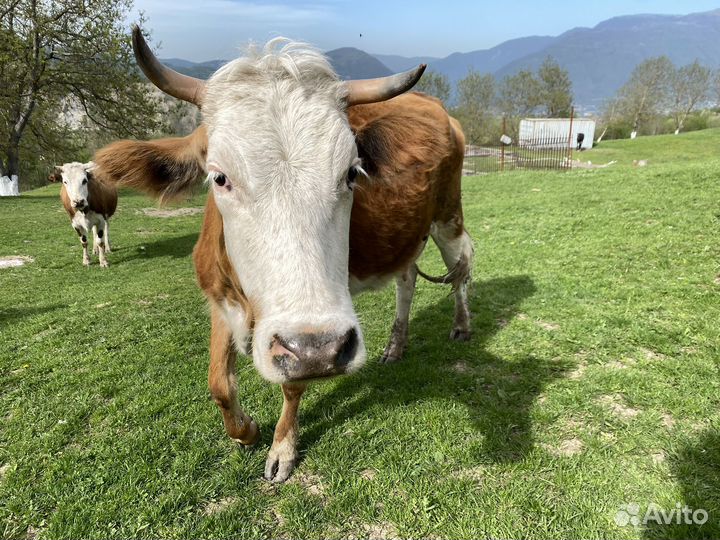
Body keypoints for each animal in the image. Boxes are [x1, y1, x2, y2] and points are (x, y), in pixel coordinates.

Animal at [92, 27, 474, 482]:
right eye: (219, 177)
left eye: (352, 173)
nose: (319, 349)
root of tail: (439, 111)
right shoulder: (220, 299)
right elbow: (219, 384)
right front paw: (246, 431)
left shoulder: (304, 346)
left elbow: (292, 384)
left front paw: (282, 447)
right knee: (408, 278)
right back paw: (395, 347)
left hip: (448, 218)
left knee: (461, 265)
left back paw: (461, 326)